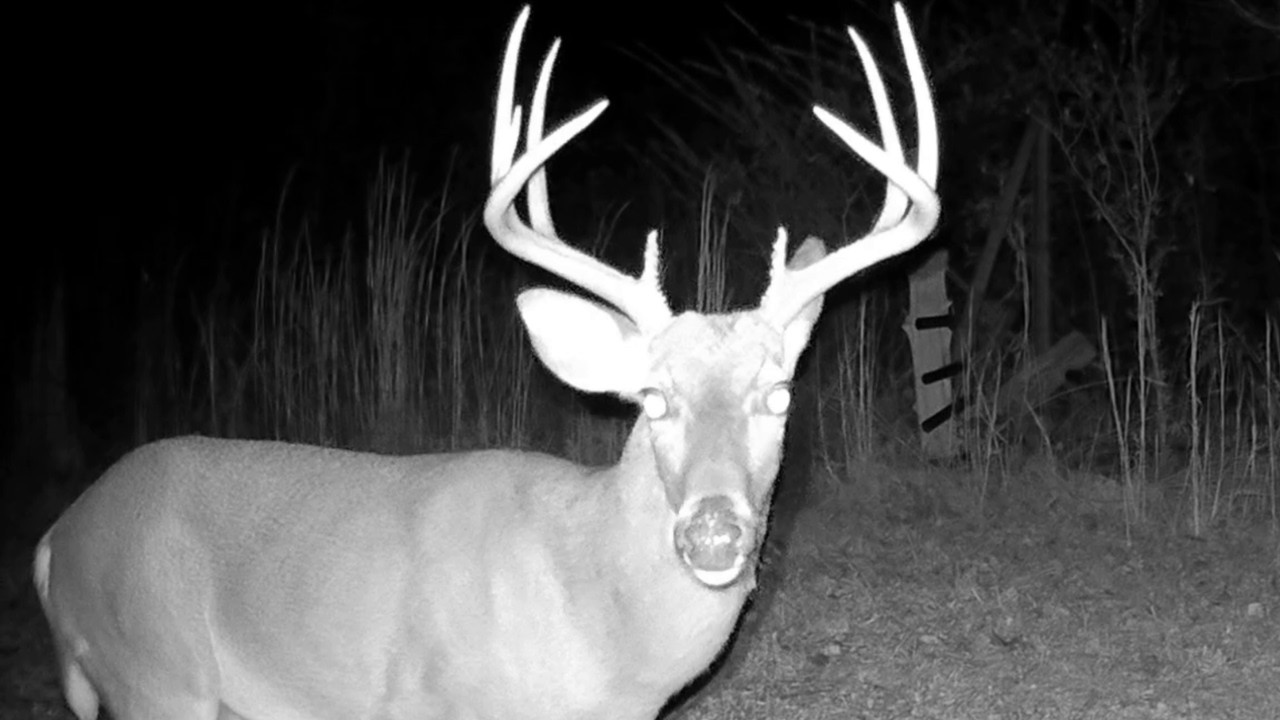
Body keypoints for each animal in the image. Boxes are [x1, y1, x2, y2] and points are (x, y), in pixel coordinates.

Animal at [32, 4, 939, 719]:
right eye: (651, 398)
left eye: (780, 395)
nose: (714, 530)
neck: (596, 630)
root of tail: (57, 538)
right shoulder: (429, 699)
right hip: (155, 672)